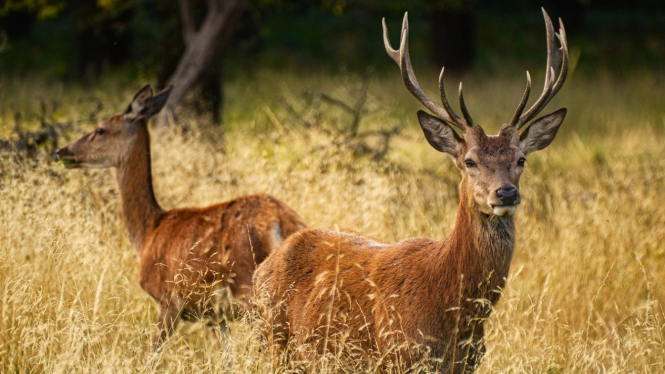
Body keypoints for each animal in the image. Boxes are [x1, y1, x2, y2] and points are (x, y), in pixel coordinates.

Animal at [55, 85, 304, 350]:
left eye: (100, 129)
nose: (61, 151)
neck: (148, 232)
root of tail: (281, 222)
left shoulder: (168, 300)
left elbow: (152, 352)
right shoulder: (216, 317)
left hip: (248, 285)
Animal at [253, 8, 564, 372]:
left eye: (521, 159)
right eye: (469, 161)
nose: (506, 194)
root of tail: (264, 266)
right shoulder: (398, 354)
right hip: (273, 342)